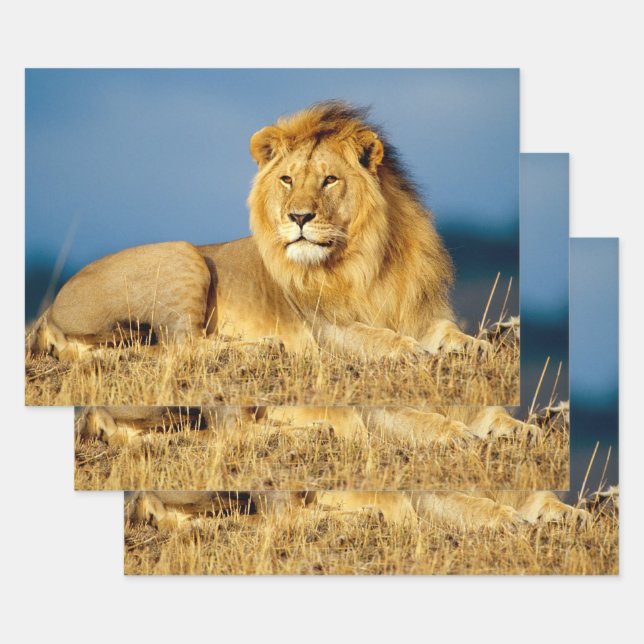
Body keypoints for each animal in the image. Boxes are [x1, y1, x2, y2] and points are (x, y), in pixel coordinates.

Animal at [28, 101, 486, 362]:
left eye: (329, 180)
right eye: (286, 179)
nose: (298, 217)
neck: (366, 260)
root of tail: (50, 310)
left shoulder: (421, 310)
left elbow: (445, 330)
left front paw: (474, 344)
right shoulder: (325, 329)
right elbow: (373, 337)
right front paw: (407, 348)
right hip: (183, 255)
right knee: (182, 345)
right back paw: (263, 346)